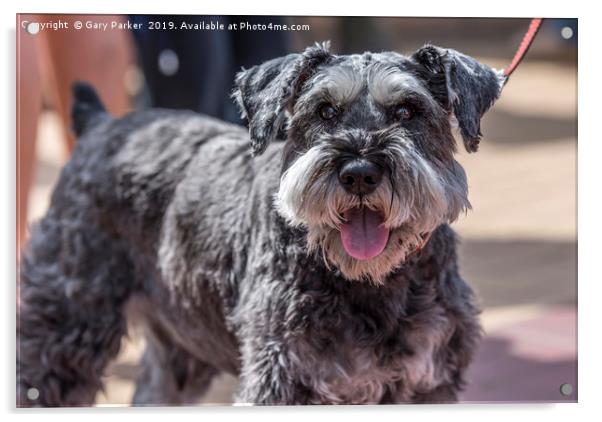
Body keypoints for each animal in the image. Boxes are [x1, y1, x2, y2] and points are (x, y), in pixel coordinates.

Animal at [16, 42, 502, 406]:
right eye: (324, 111)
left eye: (407, 111)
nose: (360, 173)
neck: (370, 282)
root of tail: (100, 126)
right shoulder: (282, 378)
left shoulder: (427, 382)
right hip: (66, 323)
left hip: (180, 344)